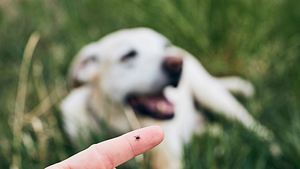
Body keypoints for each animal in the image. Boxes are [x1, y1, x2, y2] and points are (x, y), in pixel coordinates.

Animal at [62, 27, 276, 169]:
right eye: (128, 55)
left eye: (164, 46)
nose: (177, 63)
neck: (122, 124)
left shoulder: (168, 159)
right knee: (213, 129)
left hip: (213, 96)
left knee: (251, 125)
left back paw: (273, 148)